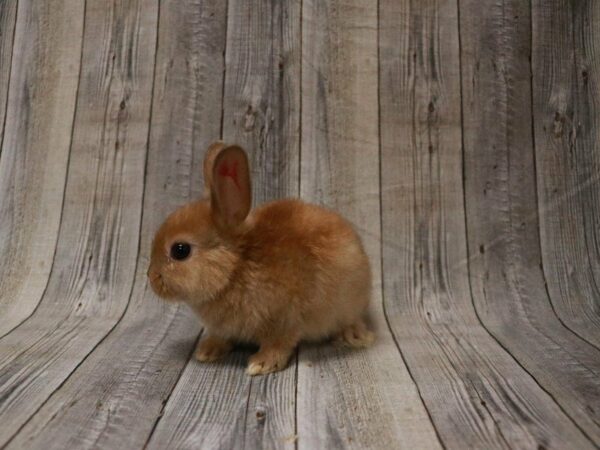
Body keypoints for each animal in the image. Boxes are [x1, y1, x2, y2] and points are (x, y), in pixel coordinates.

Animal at [149, 142, 376, 374]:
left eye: (180, 250)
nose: (152, 278)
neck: (235, 268)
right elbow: (222, 338)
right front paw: (207, 351)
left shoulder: (284, 320)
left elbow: (278, 345)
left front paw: (261, 364)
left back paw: (354, 336)